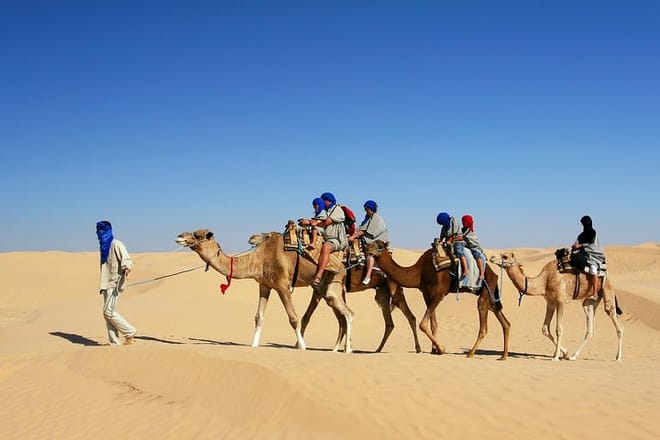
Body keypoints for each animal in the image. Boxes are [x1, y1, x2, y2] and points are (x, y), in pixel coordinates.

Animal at [176, 229, 421, 353]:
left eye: (197, 235)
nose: (179, 236)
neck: (259, 257)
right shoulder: (265, 285)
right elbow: (259, 317)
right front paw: (253, 346)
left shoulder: (283, 285)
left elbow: (295, 318)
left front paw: (301, 347)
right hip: (366, 290)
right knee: (368, 318)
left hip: (386, 286)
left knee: (401, 315)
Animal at [365, 240, 511, 360]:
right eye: (371, 243)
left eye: (380, 245)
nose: (367, 249)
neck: (419, 272)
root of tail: (494, 273)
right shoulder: (426, 294)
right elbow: (433, 324)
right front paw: (433, 350)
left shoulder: (439, 293)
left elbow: (423, 324)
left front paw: (441, 349)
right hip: (490, 294)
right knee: (504, 320)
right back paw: (503, 356)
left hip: (486, 289)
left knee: (483, 324)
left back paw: (471, 353)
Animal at [489, 251, 623, 361]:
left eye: (505, 256)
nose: (491, 257)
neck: (544, 280)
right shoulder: (550, 302)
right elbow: (545, 328)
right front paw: (564, 353)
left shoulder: (560, 301)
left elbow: (559, 329)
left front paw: (556, 357)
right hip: (591, 300)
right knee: (590, 326)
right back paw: (573, 356)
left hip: (608, 292)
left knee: (617, 323)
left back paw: (618, 357)